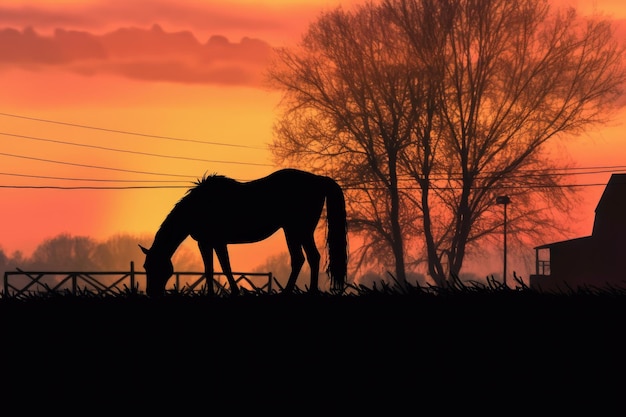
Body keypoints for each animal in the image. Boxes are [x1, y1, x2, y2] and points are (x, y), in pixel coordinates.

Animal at [138, 167, 348, 298]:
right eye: (145, 266)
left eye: (153, 267)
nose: (151, 292)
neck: (198, 207)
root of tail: (319, 180)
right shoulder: (210, 242)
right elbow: (214, 268)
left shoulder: (213, 242)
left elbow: (221, 267)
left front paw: (228, 292)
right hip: (297, 230)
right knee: (309, 258)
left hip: (297, 229)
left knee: (303, 258)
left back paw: (295, 292)